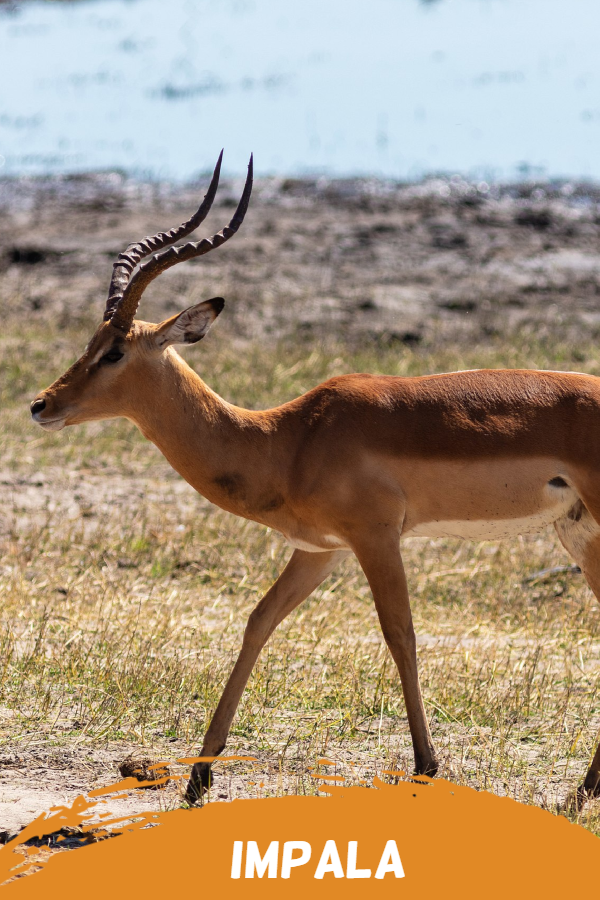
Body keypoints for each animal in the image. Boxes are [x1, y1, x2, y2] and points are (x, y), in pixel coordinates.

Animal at [30, 152, 599, 807]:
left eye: (116, 352)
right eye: (92, 341)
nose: (42, 404)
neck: (287, 438)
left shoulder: (376, 537)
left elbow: (400, 633)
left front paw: (426, 765)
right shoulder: (319, 550)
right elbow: (258, 622)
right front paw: (198, 777)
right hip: (578, 534)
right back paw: (580, 792)